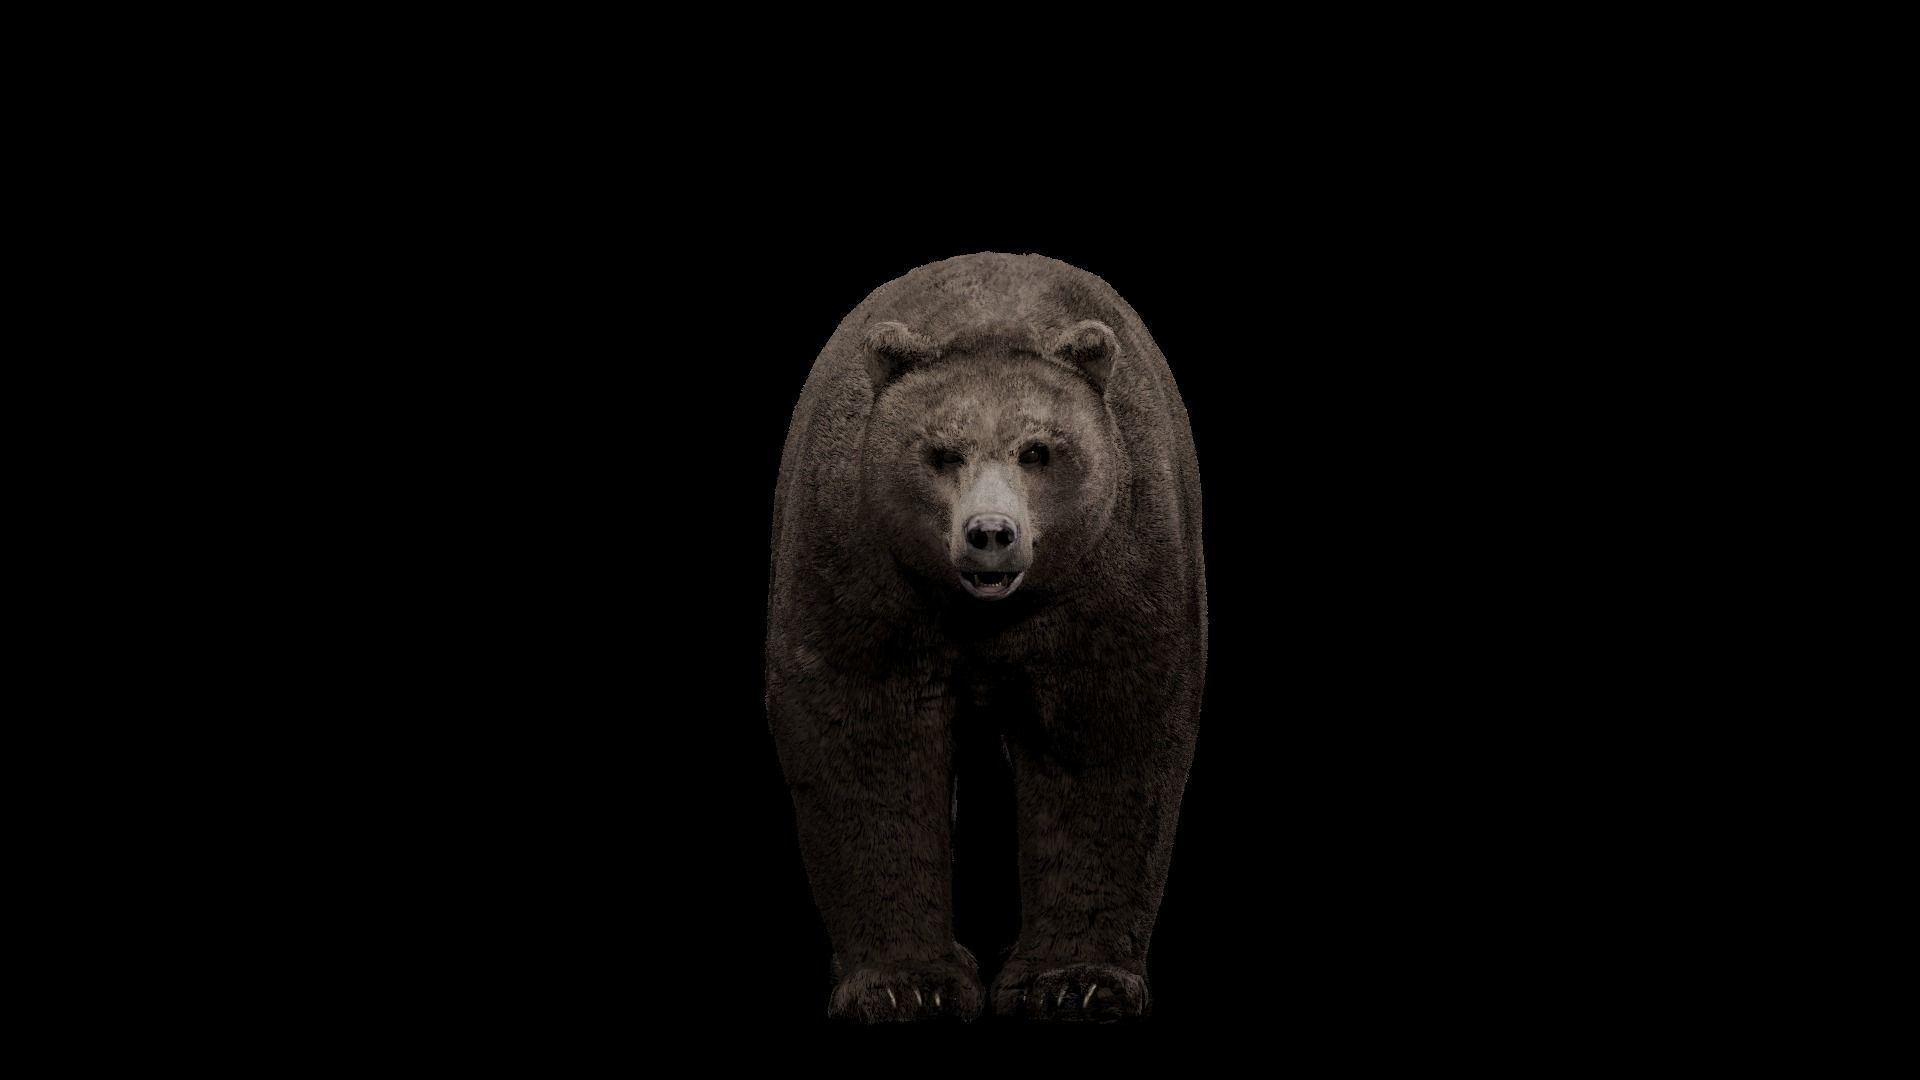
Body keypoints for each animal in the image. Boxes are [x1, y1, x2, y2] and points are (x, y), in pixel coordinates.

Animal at [765, 252, 1206, 1023]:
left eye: (1038, 450)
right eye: (942, 452)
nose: (990, 533)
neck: (986, 615)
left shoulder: (1117, 569)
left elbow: (1106, 743)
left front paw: (1076, 980)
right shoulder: (859, 564)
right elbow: (864, 741)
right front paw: (906, 983)